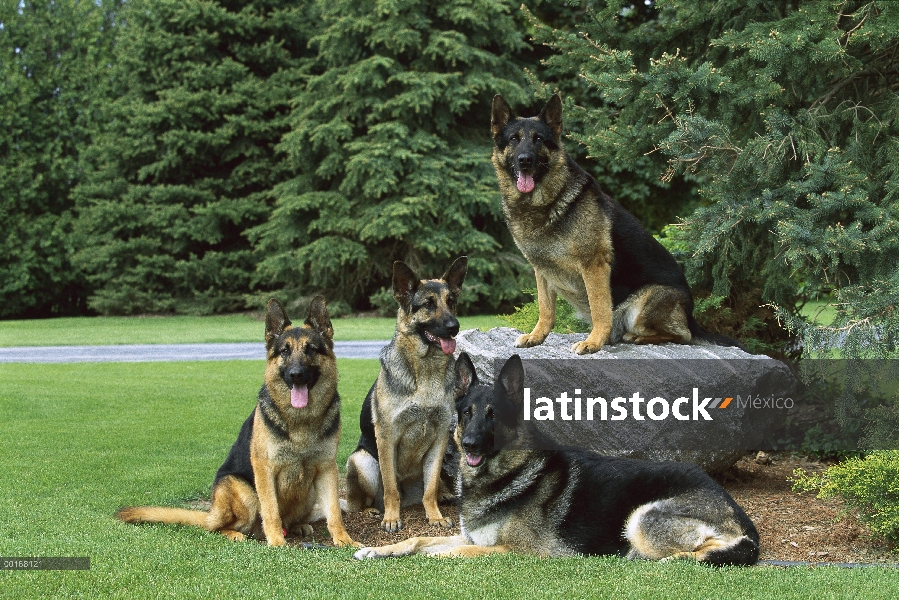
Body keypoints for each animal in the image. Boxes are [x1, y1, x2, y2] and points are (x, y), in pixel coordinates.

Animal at [116, 298, 358, 548]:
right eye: (285, 351)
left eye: (310, 349)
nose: (296, 374)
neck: (301, 420)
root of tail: (211, 513)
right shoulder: (264, 469)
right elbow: (271, 511)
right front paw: (276, 543)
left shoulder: (327, 468)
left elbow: (334, 512)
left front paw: (344, 540)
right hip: (243, 491)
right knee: (216, 528)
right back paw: (236, 534)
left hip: (308, 492)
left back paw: (297, 526)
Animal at [344, 255, 472, 532]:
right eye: (428, 304)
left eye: (451, 302)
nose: (454, 327)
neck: (425, 373)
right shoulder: (387, 436)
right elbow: (391, 487)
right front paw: (392, 518)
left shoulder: (440, 438)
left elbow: (430, 487)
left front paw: (435, 516)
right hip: (362, 461)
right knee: (360, 503)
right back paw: (373, 510)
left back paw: (444, 495)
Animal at [356, 352, 760, 564]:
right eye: (467, 413)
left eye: (493, 415)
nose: (469, 445)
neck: (507, 473)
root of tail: (735, 509)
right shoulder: (468, 536)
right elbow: (418, 541)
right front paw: (376, 549)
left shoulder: (508, 550)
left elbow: (437, 553)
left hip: (641, 519)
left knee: (714, 552)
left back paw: (665, 560)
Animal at [492, 94, 740, 354]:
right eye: (513, 139)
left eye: (538, 139)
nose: (525, 160)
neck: (545, 202)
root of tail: (691, 315)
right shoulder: (542, 271)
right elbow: (546, 309)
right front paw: (536, 336)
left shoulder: (594, 266)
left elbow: (600, 308)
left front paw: (593, 342)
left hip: (644, 306)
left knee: (683, 335)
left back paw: (637, 337)